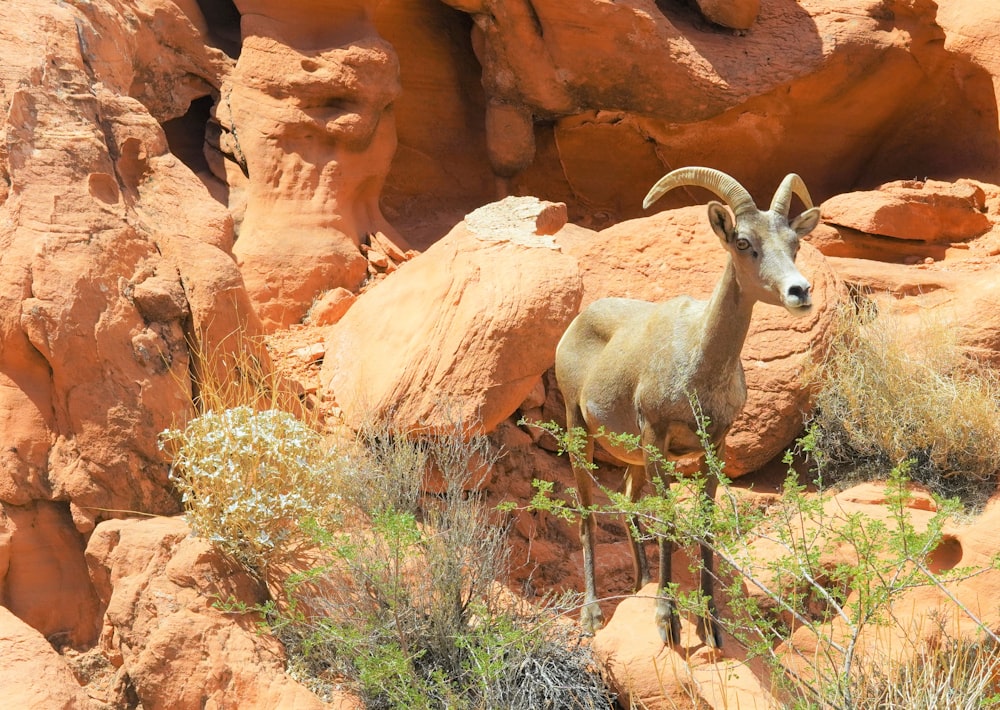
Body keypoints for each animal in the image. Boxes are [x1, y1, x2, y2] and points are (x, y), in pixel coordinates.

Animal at [556, 168, 820, 652]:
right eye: (743, 242)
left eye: (795, 243)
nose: (800, 292)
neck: (697, 363)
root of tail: (579, 322)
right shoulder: (657, 436)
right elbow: (668, 521)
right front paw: (668, 622)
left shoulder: (713, 446)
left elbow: (704, 528)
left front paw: (712, 628)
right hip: (577, 427)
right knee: (585, 516)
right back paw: (593, 616)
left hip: (634, 456)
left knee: (626, 500)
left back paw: (640, 583)